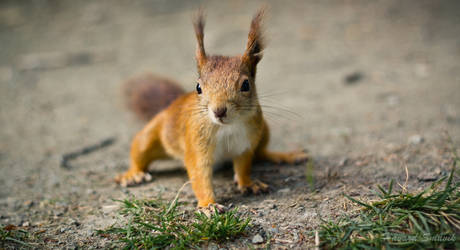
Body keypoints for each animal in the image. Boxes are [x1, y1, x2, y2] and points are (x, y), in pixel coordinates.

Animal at [115, 8, 310, 210]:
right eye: (198, 87)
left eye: (246, 85)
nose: (219, 111)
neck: (227, 128)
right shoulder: (197, 144)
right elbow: (199, 174)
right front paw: (209, 205)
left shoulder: (246, 143)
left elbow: (243, 166)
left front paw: (248, 183)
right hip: (153, 135)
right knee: (140, 151)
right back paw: (133, 174)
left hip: (264, 130)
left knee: (261, 153)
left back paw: (286, 156)